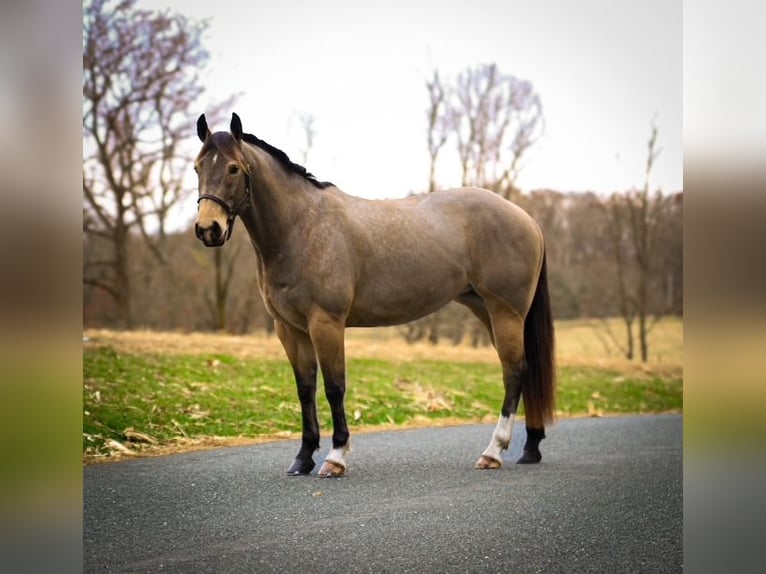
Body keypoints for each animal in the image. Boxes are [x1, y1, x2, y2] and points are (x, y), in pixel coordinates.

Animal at [192, 112, 556, 476]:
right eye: (197, 168)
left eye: (233, 169)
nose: (208, 229)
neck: (302, 227)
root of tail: (527, 219)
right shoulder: (290, 329)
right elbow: (305, 389)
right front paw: (303, 457)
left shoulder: (326, 324)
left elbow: (334, 387)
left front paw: (336, 456)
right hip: (488, 311)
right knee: (523, 370)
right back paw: (530, 447)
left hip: (505, 312)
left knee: (514, 372)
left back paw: (493, 452)